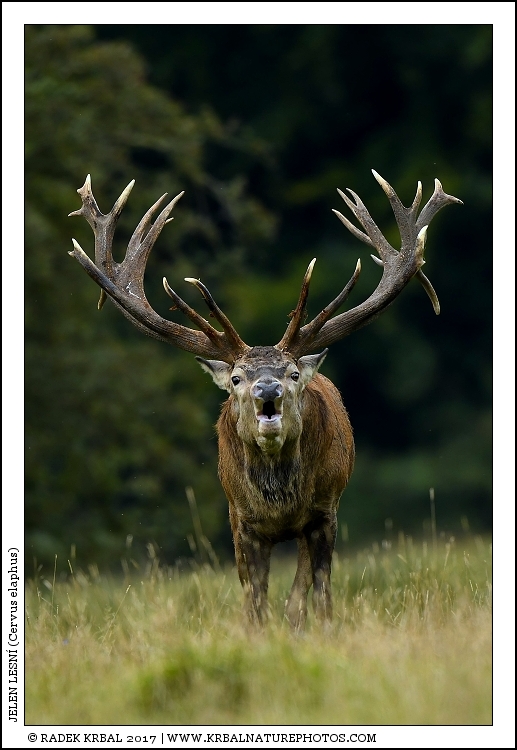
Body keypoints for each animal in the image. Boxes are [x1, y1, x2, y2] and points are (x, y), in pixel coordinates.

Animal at [68, 170, 461, 630]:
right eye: (237, 377)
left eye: (292, 375)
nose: (268, 390)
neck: (279, 505)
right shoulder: (241, 520)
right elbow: (254, 599)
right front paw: (257, 631)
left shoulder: (324, 511)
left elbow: (314, 592)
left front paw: (318, 628)